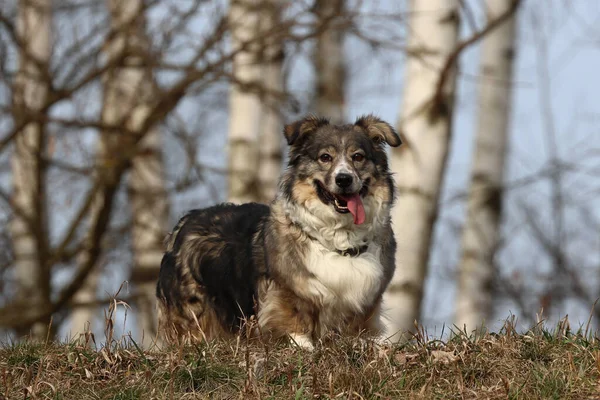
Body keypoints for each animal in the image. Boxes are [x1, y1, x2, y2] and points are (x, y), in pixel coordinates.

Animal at [158, 114, 404, 348]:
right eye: (325, 157)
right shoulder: (285, 292)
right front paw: (302, 345)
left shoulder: (366, 301)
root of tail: (184, 222)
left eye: (358, 157)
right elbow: (291, 320)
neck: (339, 237)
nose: (344, 179)